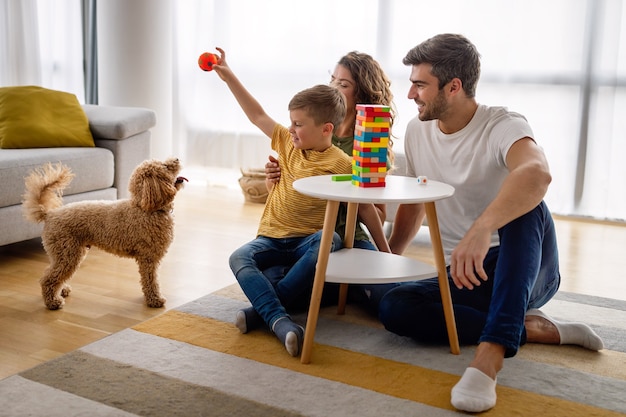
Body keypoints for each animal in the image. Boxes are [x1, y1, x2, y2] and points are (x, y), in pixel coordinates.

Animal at [22, 156, 188, 308]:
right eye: (165, 166)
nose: (177, 159)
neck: (145, 208)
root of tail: (49, 214)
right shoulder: (148, 258)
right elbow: (151, 280)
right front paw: (155, 300)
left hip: (69, 252)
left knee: (54, 273)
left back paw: (62, 290)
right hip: (67, 253)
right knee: (48, 279)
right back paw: (53, 302)